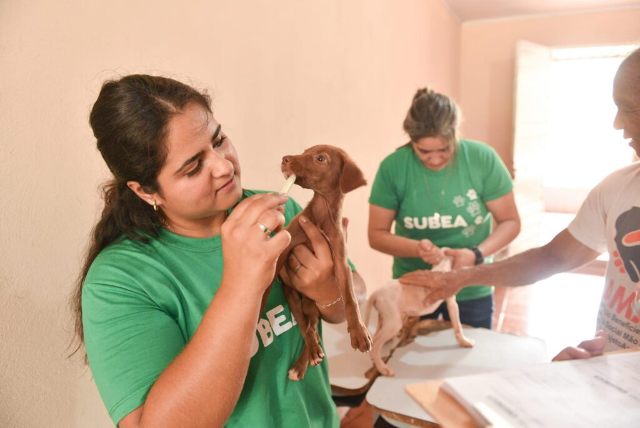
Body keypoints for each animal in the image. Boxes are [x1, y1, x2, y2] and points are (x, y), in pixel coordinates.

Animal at [274, 145, 370, 382]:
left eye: (320, 159)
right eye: (304, 152)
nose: (284, 159)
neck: (321, 213)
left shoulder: (341, 262)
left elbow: (351, 299)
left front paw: (359, 331)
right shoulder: (285, 246)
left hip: (312, 306)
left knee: (311, 327)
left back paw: (308, 358)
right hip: (293, 298)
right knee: (305, 328)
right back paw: (309, 356)